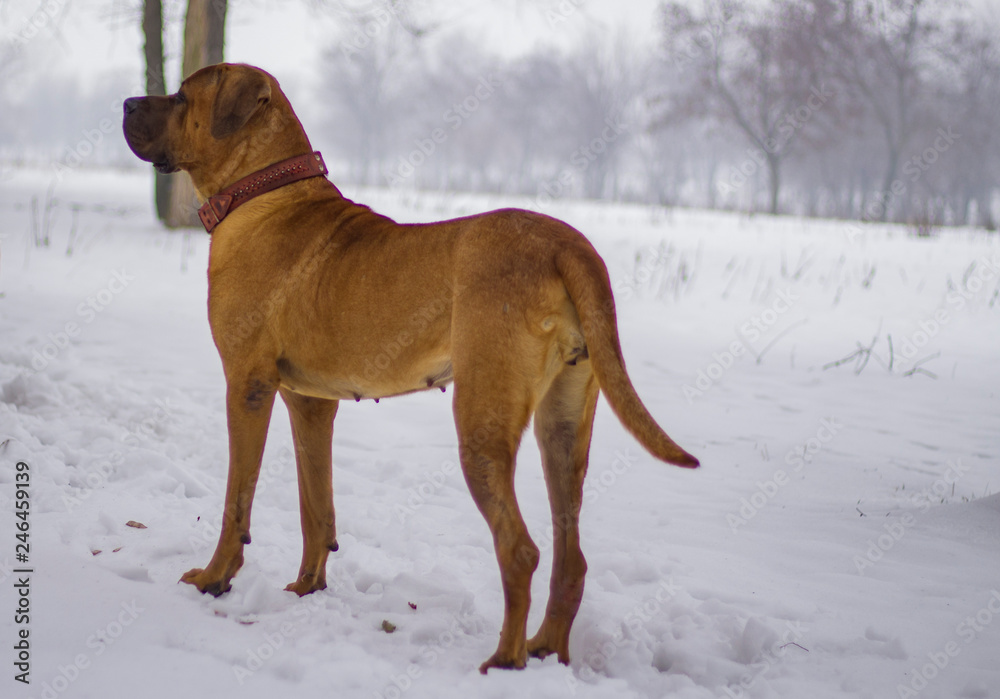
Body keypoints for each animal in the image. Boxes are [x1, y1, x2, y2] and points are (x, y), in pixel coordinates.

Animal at [121, 64, 700, 672]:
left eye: (182, 96)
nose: (127, 103)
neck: (265, 190)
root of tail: (567, 244)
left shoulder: (247, 386)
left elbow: (237, 497)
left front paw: (215, 578)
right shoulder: (310, 403)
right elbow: (315, 504)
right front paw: (305, 588)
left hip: (481, 423)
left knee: (519, 550)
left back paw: (505, 660)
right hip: (562, 427)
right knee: (571, 556)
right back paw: (546, 651)